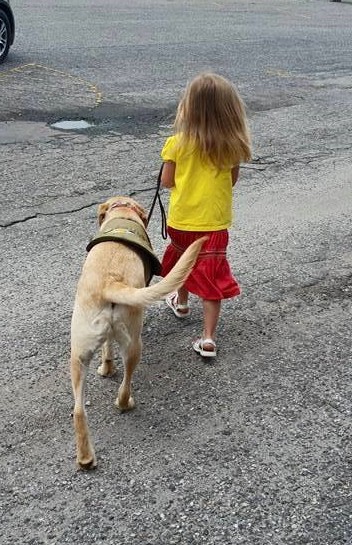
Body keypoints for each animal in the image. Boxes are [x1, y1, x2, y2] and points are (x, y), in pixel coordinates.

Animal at [70, 196, 205, 468]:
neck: (123, 213)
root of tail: (111, 281)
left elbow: (107, 349)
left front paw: (106, 369)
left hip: (77, 354)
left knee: (79, 410)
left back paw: (86, 458)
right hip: (134, 344)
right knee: (125, 387)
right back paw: (126, 404)